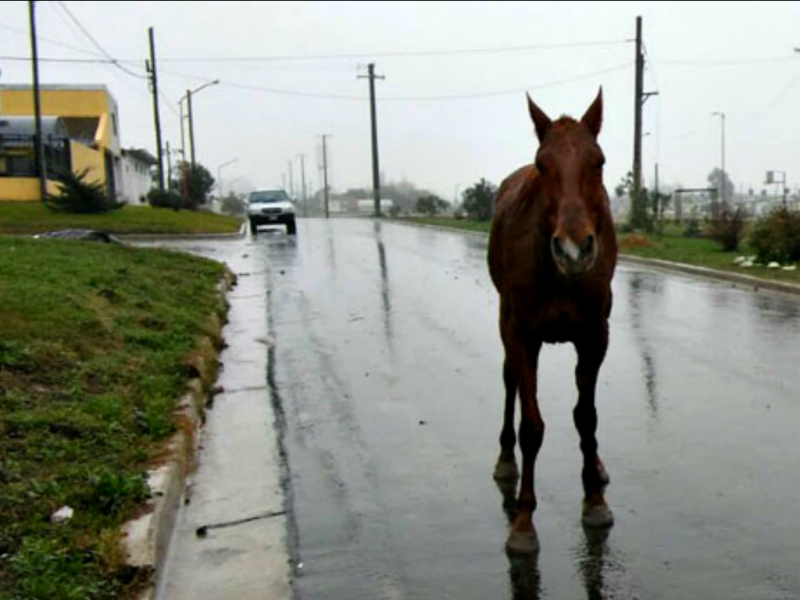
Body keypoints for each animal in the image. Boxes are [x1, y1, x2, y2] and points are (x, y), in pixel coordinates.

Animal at [488, 89, 620, 552]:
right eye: (542, 164)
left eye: (599, 161)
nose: (574, 249)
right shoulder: (521, 334)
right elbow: (532, 426)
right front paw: (523, 521)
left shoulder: (595, 336)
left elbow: (588, 417)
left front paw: (594, 500)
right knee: (509, 381)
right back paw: (505, 459)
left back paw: (597, 465)